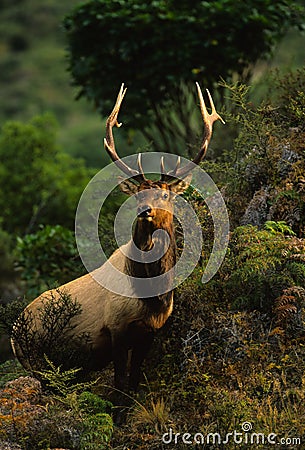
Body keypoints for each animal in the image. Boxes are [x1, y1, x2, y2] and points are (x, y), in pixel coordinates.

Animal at [11, 82, 223, 392]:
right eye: (137, 194)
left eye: (164, 195)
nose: (145, 210)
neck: (151, 296)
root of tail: (13, 334)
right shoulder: (116, 328)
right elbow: (121, 385)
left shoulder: (150, 332)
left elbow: (133, 381)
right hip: (37, 361)